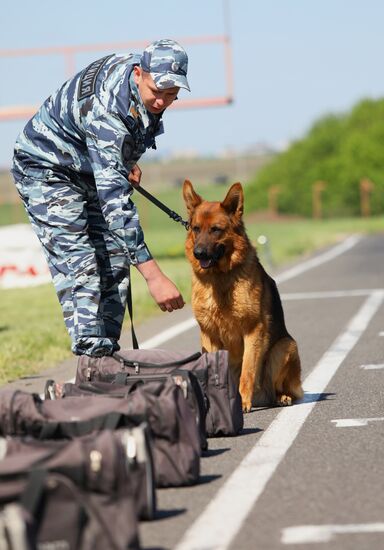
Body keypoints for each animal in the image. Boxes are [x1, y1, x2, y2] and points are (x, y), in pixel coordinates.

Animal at [183, 182, 304, 414]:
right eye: (195, 228)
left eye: (216, 229)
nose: (198, 253)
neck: (220, 278)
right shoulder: (209, 334)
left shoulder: (253, 331)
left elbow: (247, 371)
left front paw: (241, 402)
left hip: (285, 347)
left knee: (283, 389)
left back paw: (281, 397)